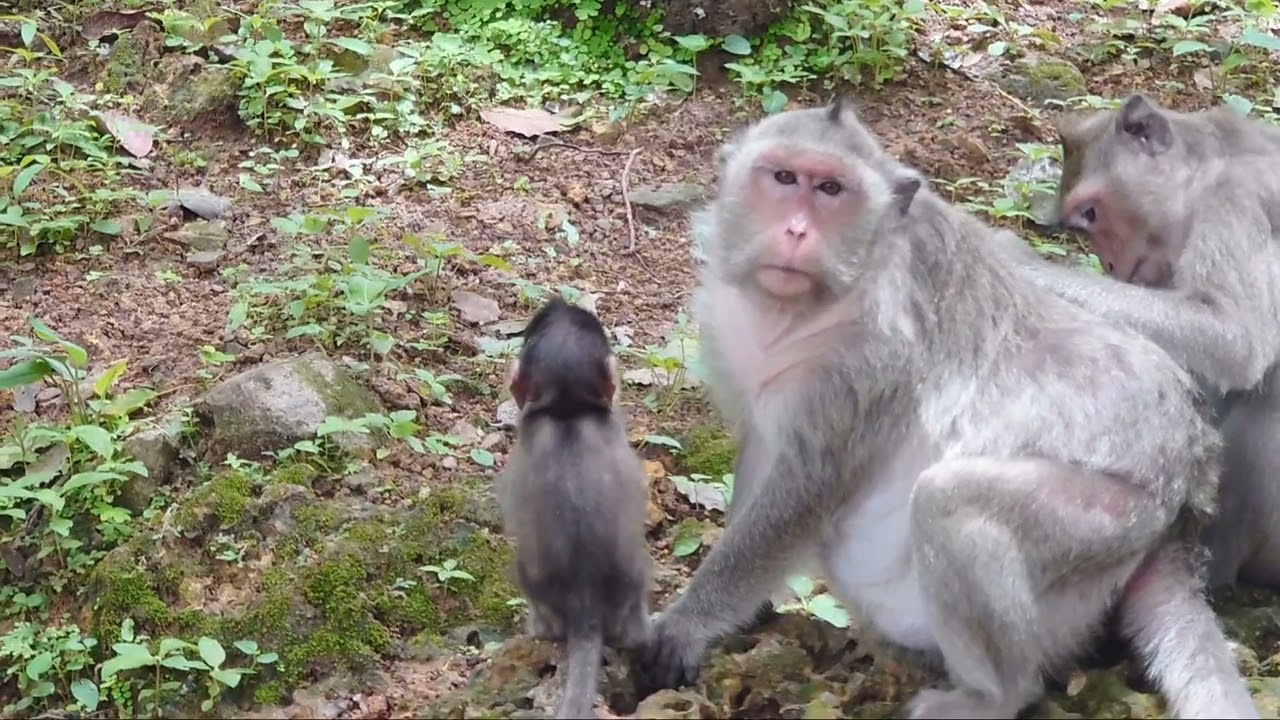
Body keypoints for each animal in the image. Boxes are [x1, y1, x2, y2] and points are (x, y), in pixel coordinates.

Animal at [1023, 93, 1280, 590]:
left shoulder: (1232, 202)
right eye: (1083, 225)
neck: (1210, 163)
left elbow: (1234, 337)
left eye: (1092, 214)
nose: (1107, 262)